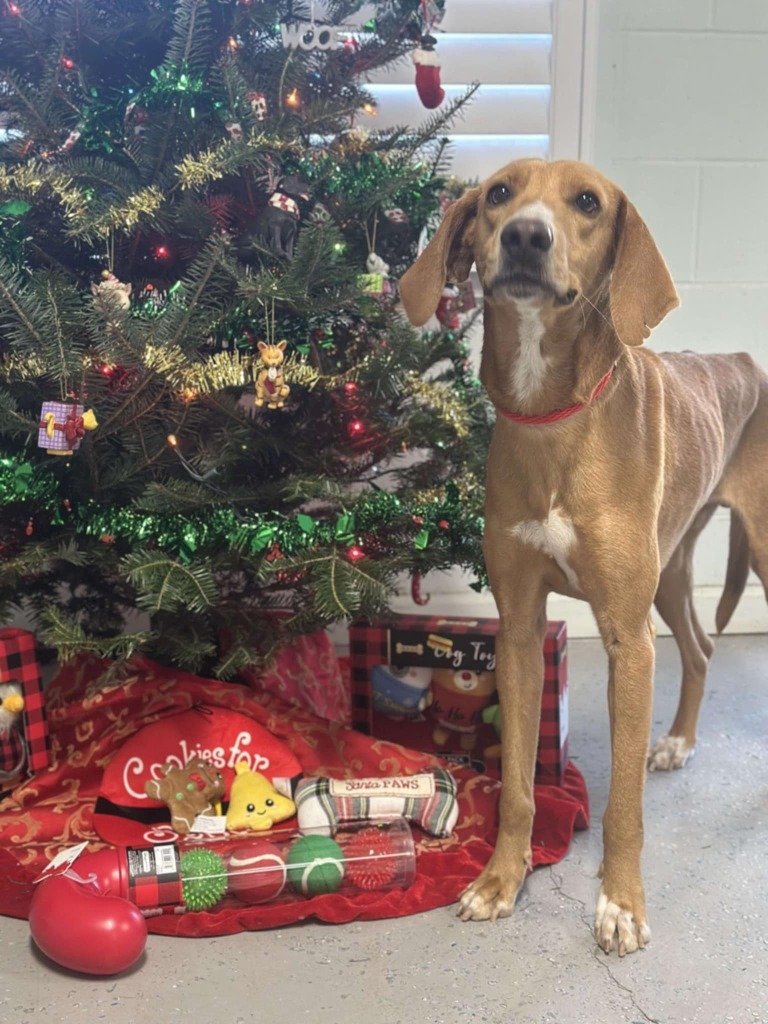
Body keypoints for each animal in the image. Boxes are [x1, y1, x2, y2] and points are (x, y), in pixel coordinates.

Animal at [399, 157, 765, 950]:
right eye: (499, 193)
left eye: (589, 202)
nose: (525, 236)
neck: (555, 417)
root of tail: (745, 358)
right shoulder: (519, 630)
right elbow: (516, 787)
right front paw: (500, 879)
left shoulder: (628, 639)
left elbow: (624, 805)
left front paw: (621, 903)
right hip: (670, 570)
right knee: (699, 651)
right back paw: (678, 742)